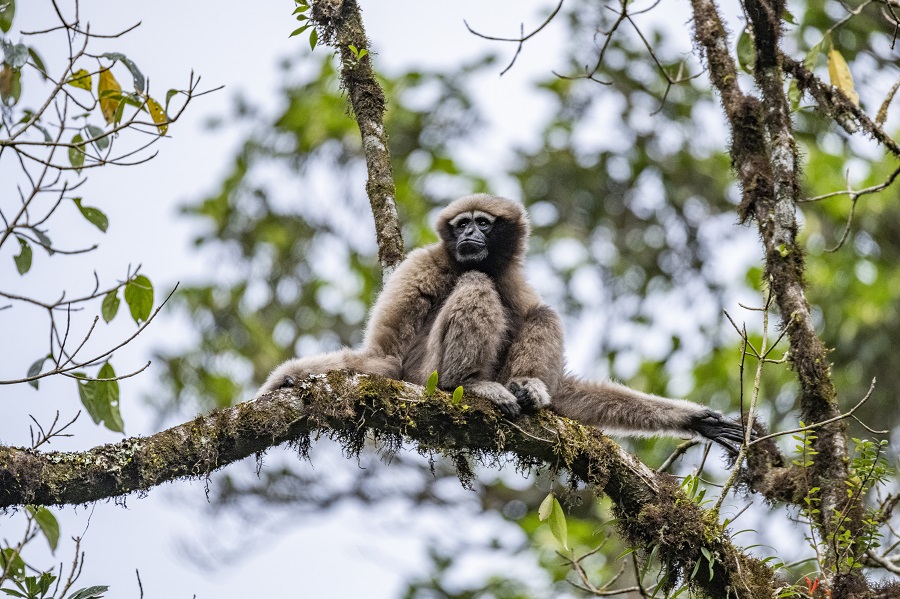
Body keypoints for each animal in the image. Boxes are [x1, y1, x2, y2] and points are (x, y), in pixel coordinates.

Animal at [261, 194, 747, 454]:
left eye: (483, 223)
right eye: (461, 225)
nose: (469, 236)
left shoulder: (513, 276)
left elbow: (565, 391)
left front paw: (696, 420)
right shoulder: (423, 262)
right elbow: (380, 357)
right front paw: (287, 378)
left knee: (541, 313)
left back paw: (526, 388)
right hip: (424, 372)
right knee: (474, 288)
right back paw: (471, 384)